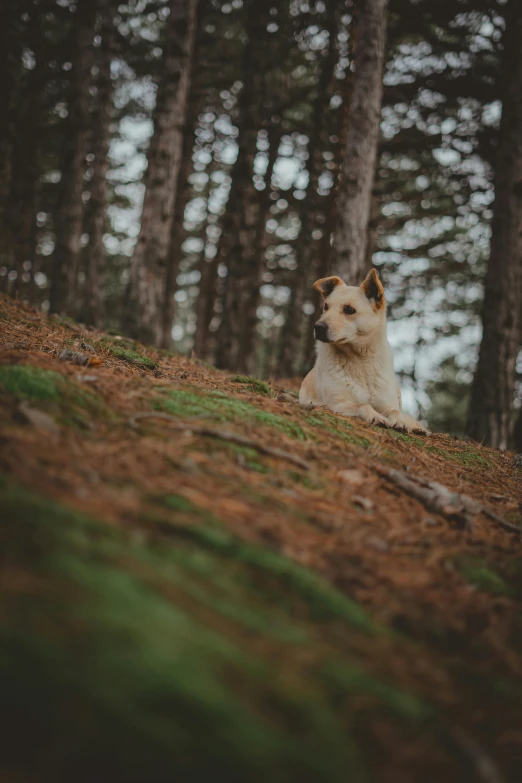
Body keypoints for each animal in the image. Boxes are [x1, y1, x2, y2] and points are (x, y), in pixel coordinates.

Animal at [298, 270, 424, 434]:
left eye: (349, 310)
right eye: (326, 307)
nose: (318, 327)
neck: (360, 360)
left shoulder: (388, 404)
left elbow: (395, 412)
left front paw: (401, 423)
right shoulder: (336, 402)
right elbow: (363, 405)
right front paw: (376, 416)